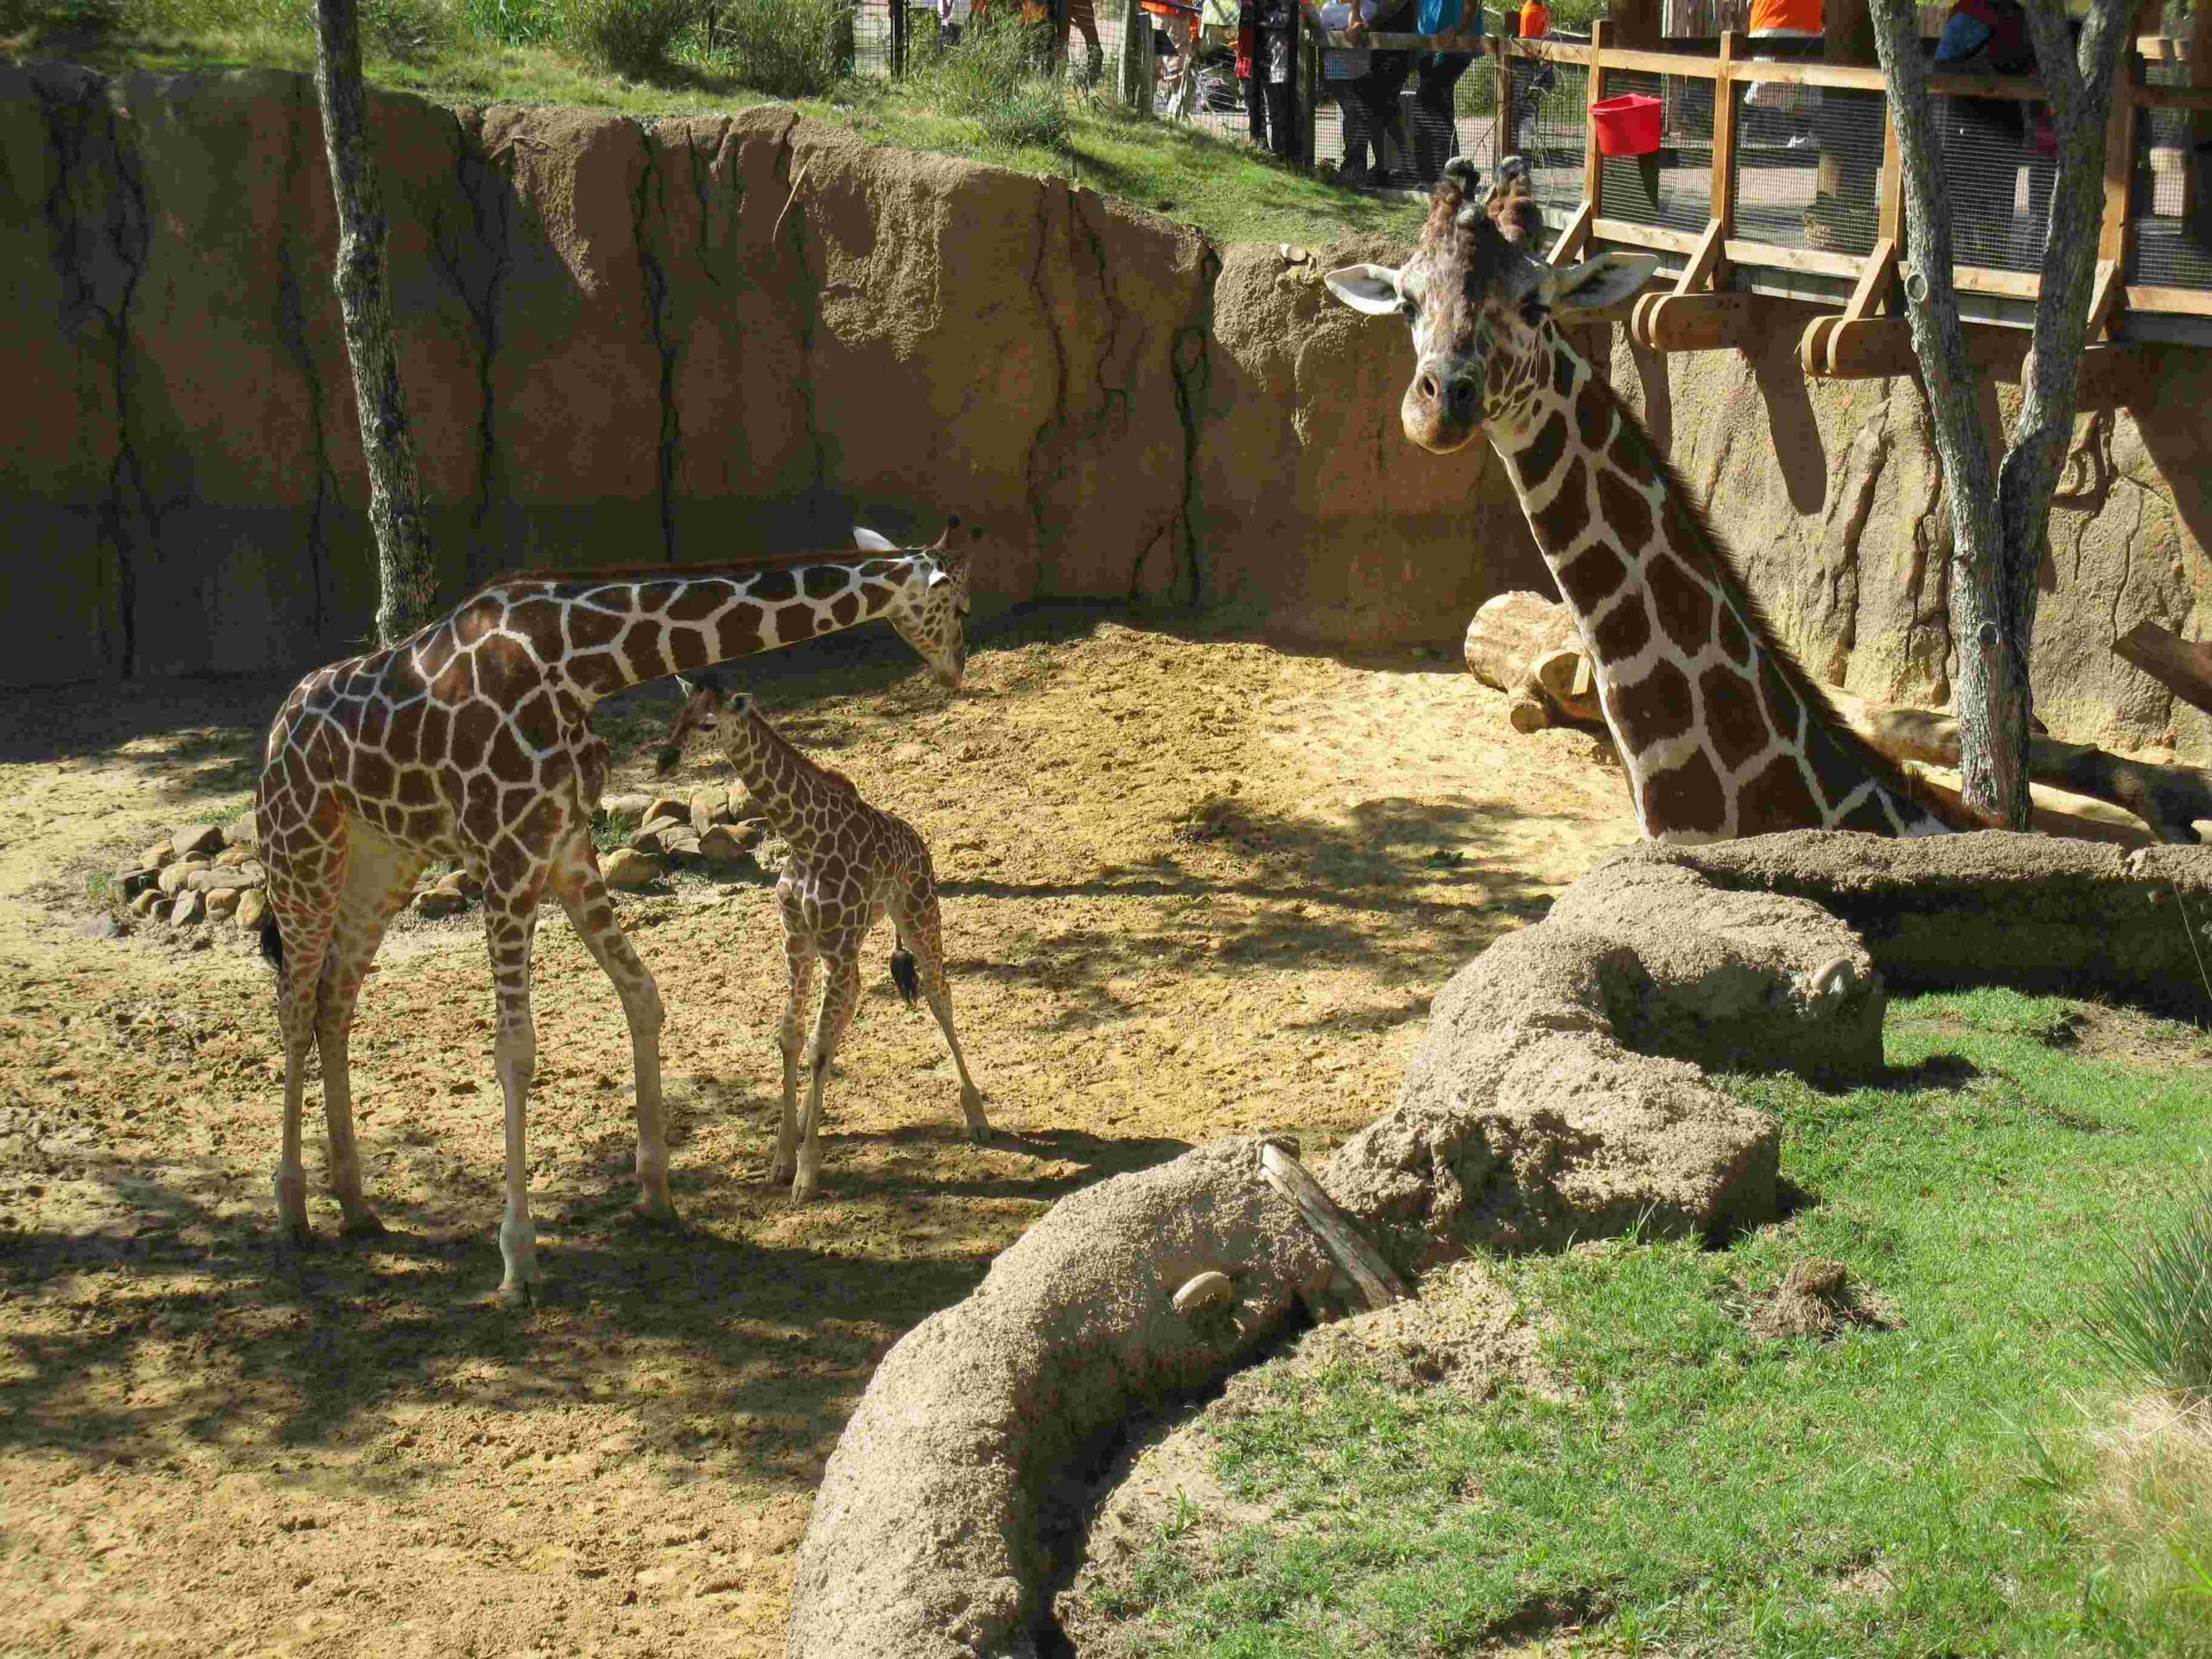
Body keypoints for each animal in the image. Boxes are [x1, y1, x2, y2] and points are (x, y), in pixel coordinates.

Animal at [650, 668, 990, 1203]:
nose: (665, 760)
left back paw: (976, 1115)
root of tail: (918, 843)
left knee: (939, 995)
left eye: (707, 723)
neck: (805, 837)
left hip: (917, 913)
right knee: (850, 1005)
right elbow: (793, 1037)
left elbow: (818, 1047)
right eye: (678, 716)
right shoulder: (799, 939)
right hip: (857, 941)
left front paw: (806, 1174)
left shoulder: (834, 943)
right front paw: (781, 1157)